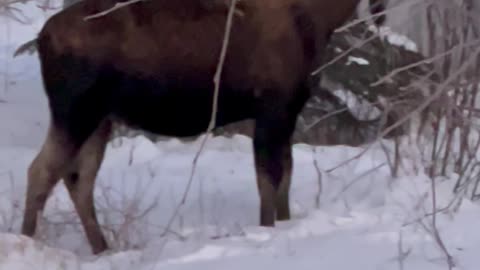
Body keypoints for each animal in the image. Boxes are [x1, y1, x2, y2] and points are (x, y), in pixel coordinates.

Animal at [20, 0, 386, 254]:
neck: (319, 19)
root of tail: (42, 37)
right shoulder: (272, 109)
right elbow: (269, 180)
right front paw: (267, 230)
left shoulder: (289, 112)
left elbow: (285, 177)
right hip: (75, 111)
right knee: (42, 171)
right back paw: (27, 240)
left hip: (100, 119)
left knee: (77, 178)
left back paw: (102, 249)